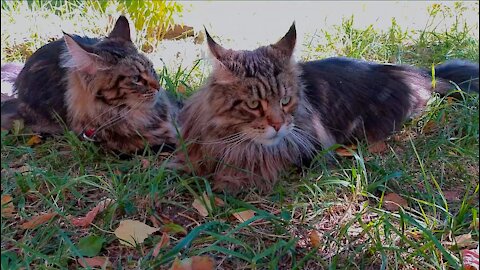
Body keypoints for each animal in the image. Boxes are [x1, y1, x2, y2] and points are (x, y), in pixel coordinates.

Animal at [176, 22, 480, 193]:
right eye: (253, 104)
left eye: (285, 100)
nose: (278, 125)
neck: (233, 142)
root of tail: (413, 71)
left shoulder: (311, 149)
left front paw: (230, 182)